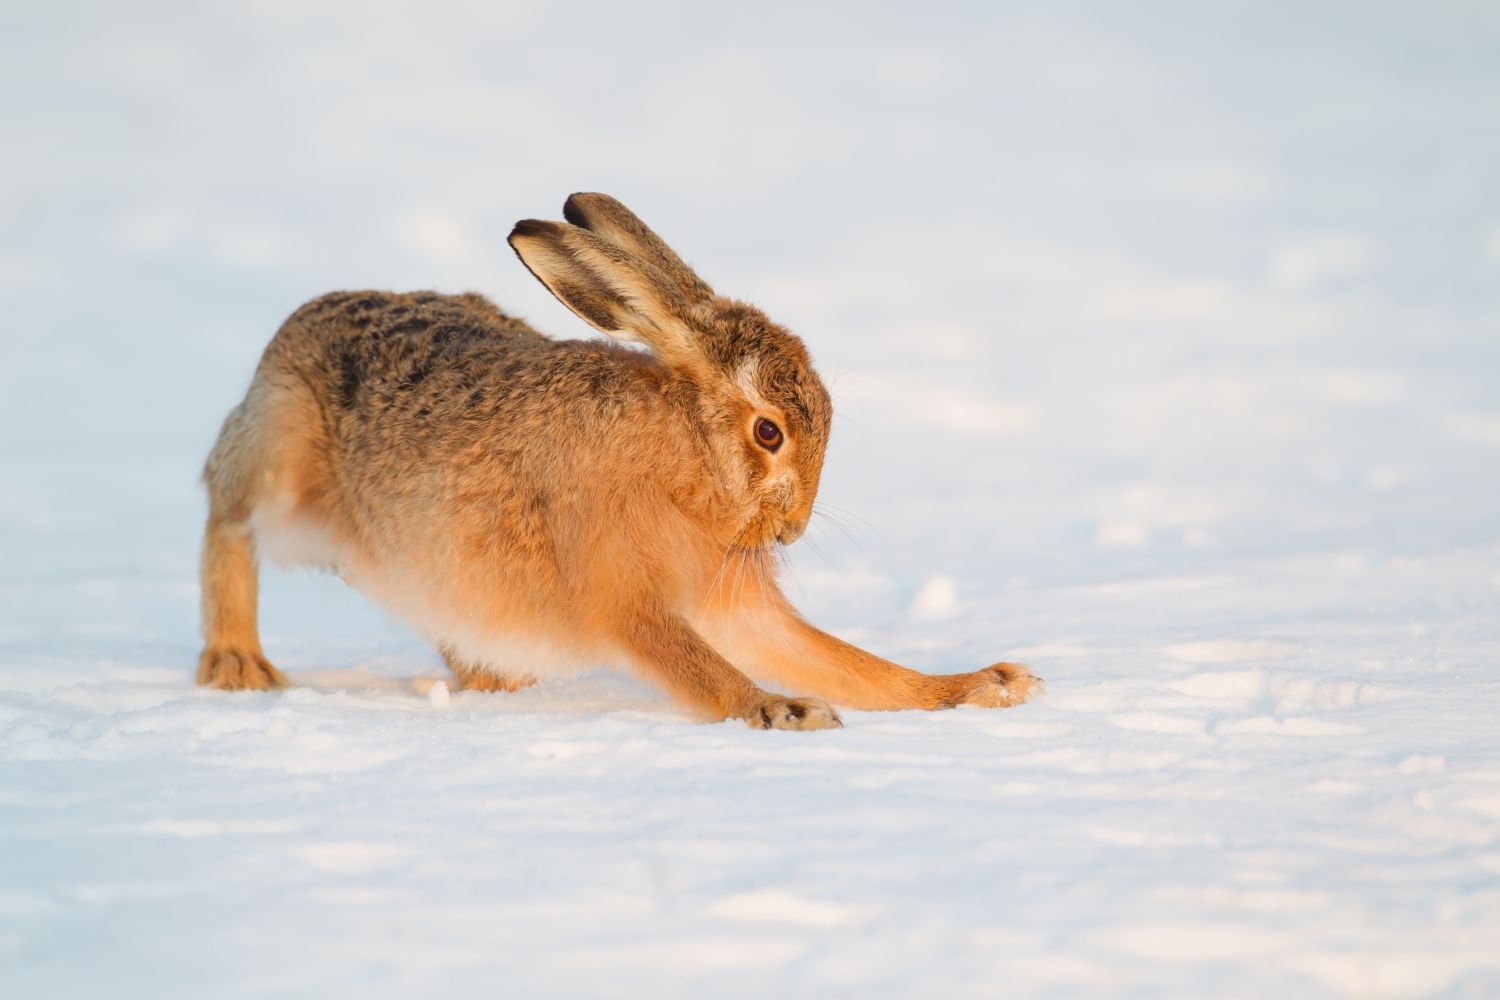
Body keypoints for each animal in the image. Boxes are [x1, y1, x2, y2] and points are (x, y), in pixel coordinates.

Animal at [196, 193, 1040, 730]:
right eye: (769, 433)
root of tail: (299, 322)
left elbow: (846, 662)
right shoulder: (625, 595)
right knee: (226, 521)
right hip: (278, 454)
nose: (792, 531)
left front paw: (986, 687)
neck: (685, 456)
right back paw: (236, 666)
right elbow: (699, 667)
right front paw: (780, 711)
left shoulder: (731, 602)